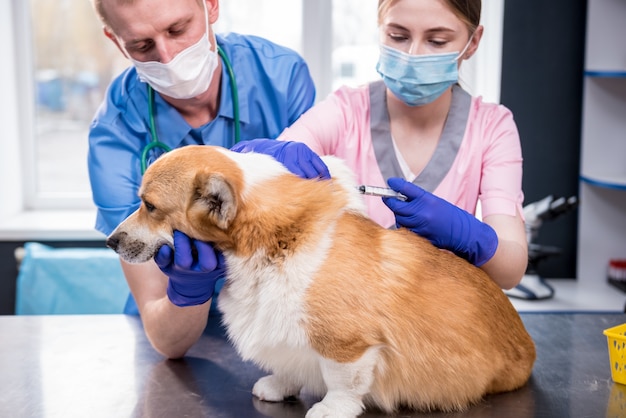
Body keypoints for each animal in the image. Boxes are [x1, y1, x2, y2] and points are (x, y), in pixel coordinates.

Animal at [106, 145, 532, 418]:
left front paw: (332, 409)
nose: (110, 241)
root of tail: (527, 348)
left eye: (150, 206)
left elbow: (344, 381)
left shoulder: (347, 345)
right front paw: (279, 385)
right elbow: (289, 363)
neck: (274, 240)